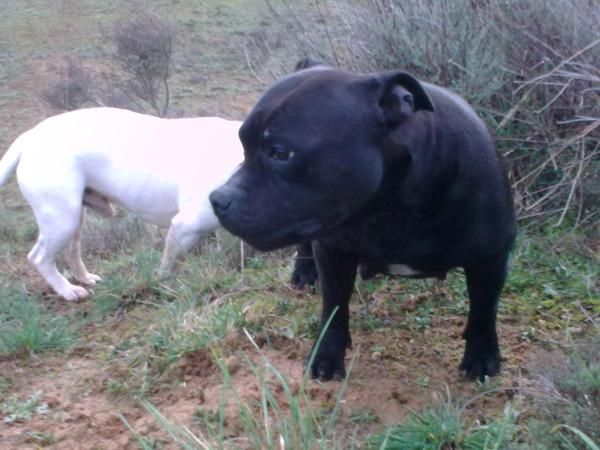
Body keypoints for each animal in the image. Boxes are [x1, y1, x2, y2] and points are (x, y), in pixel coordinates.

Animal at [0, 107, 244, 300]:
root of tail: (30, 137)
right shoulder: (185, 227)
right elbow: (168, 263)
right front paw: (161, 281)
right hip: (62, 220)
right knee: (40, 258)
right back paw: (67, 291)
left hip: (73, 218)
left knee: (72, 251)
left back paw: (85, 278)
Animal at [212, 59, 516, 382]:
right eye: (242, 143)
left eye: (281, 153)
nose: (218, 199)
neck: (387, 210)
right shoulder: (333, 251)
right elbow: (333, 307)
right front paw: (326, 356)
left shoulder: (492, 258)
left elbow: (483, 309)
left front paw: (481, 356)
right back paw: (304, 272)